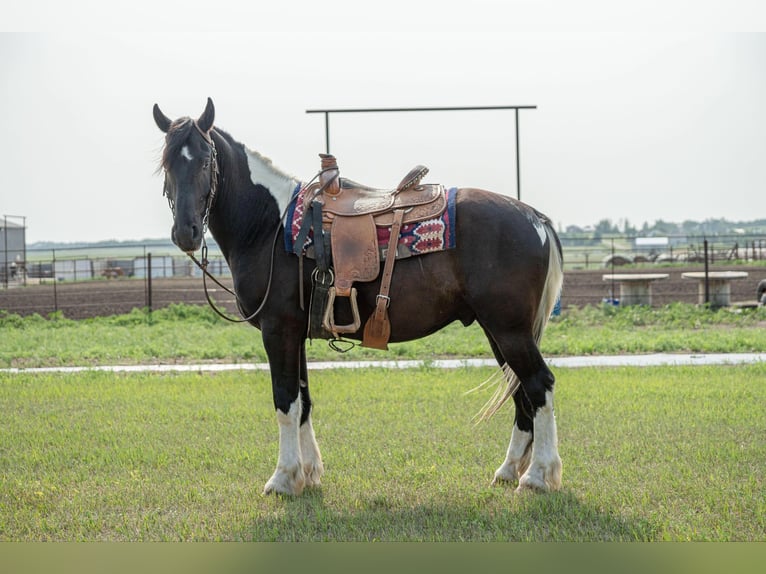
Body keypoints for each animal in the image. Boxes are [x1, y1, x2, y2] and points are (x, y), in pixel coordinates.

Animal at [153, 98, 568, 496]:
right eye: (167, 164)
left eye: (206, 160)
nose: (186, 232)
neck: (269, 226)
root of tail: (534, 217)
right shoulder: (296, 334)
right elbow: (304, 402)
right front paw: (309, 474)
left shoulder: (277, 331)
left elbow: (285, 402)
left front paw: (283, 479)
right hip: (499, 330)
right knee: (521, 391)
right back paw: (509, 470)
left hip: (509, 330)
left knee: (540, 385)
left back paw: (537, 476)